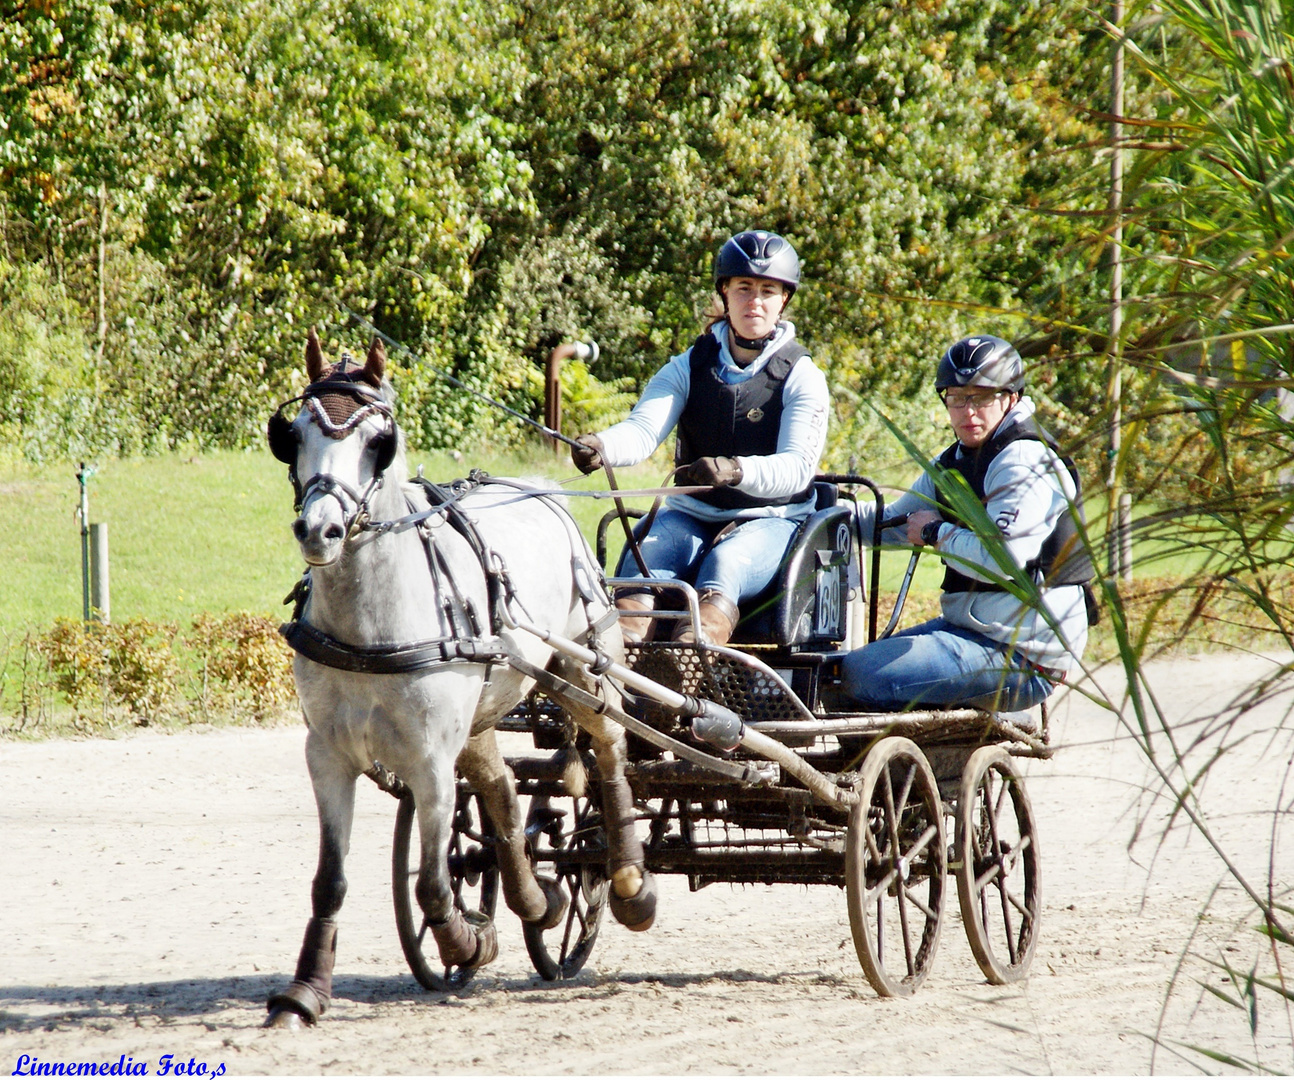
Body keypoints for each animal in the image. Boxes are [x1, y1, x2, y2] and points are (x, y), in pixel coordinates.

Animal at [267, 331, 662, 1029]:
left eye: (377, 441)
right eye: (295, 434)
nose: (320, 529)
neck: (370, 625)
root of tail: (542, 488)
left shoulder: (429, 761)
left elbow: (430, 883)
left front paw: (466, 943)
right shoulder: (328, 756)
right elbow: (331, 881)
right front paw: (304, 992)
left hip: (585, 672)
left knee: (611, 753)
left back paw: (629, 883)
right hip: (481, 708)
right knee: (501, 786)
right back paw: (538, 902)